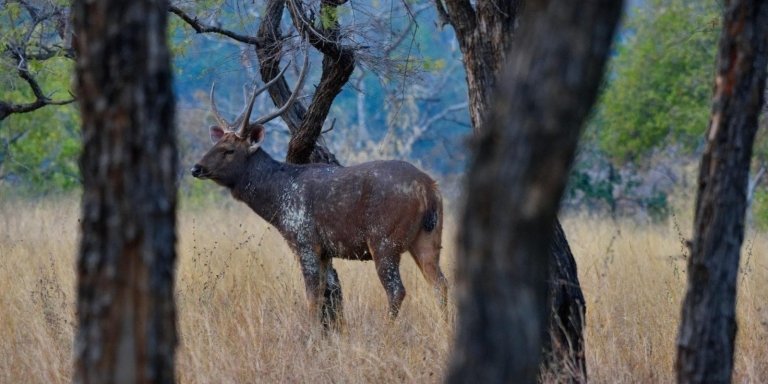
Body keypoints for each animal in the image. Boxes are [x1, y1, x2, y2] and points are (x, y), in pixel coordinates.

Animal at [188, 60, 448, 324]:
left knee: (397, 290)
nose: (196, 168)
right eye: (215, 144)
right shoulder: (325, 251)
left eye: (229, 150)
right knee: (440, 283)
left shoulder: (305, 240)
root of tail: (429, 188)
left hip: (384, 238)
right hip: (427, 237)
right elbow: (324, 294)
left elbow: (313, 297)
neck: (278, 202)